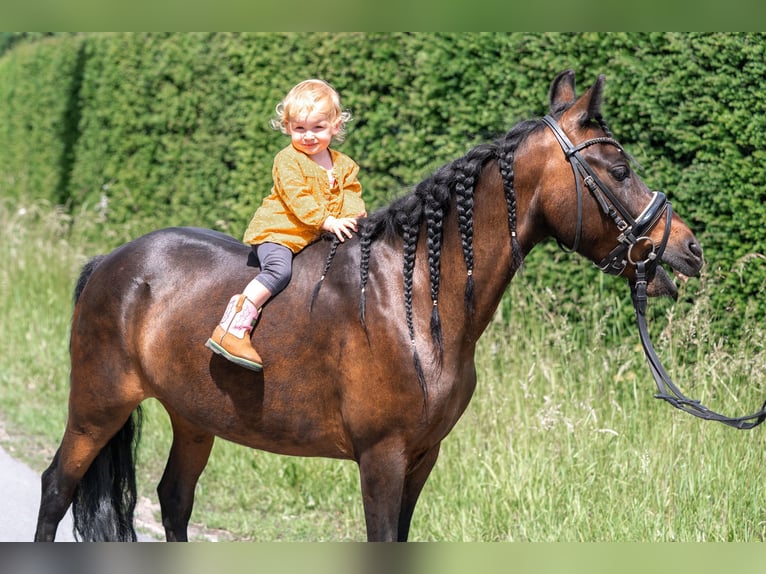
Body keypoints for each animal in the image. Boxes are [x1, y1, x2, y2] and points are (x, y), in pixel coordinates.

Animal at [34, 70, 704, 542]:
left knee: (174, 501)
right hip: (97, 406)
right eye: (619, 166)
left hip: (195, 415)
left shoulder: (422, 457)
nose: (688, 248)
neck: (414, 301)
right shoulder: (382, 457)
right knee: (56, 489)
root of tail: (111, 263)